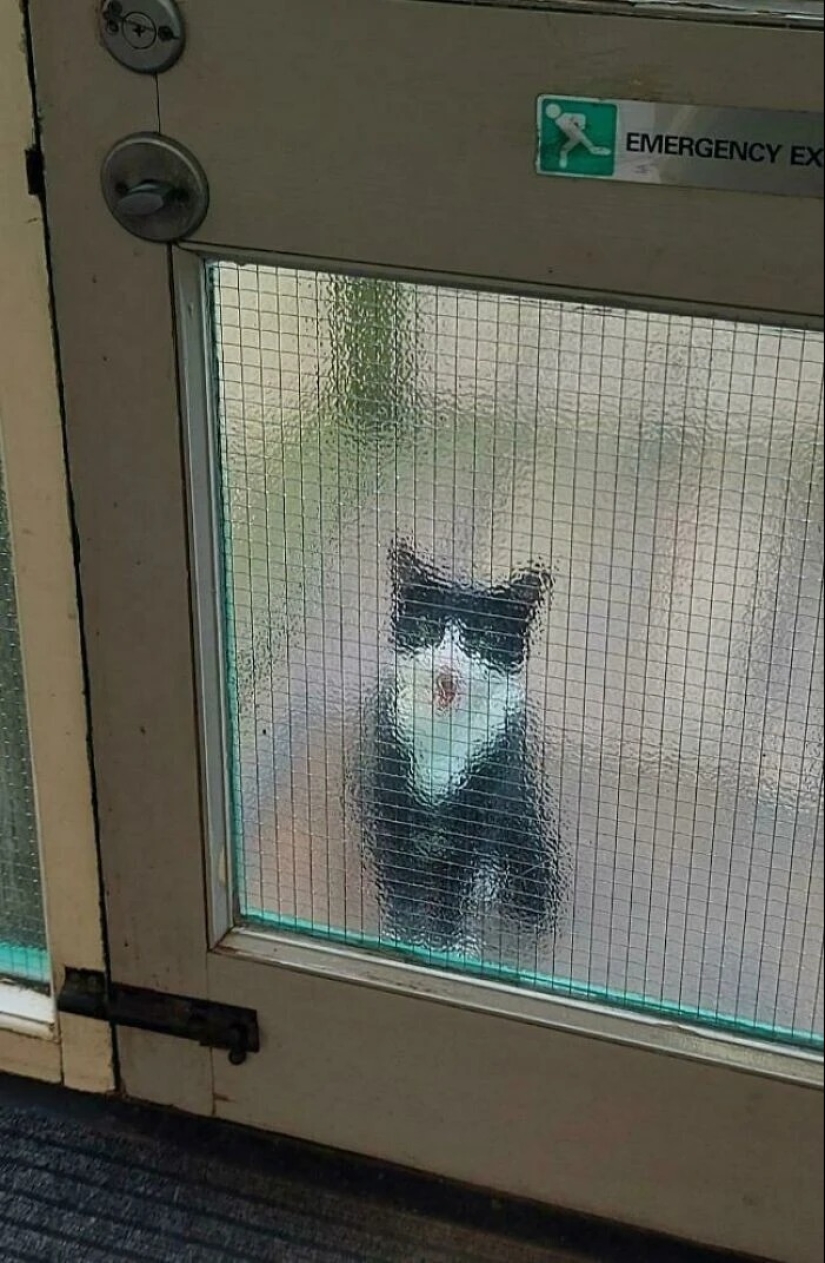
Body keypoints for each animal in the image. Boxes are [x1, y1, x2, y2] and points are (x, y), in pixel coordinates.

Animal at [358, 540, 560, 949]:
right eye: (426, 628)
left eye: (482, 639)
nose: (447, 670)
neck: (443, 731)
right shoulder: (389, 789)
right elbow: (400, 879)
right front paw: (403, 935)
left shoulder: (489, 782)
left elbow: (456, 883)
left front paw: (449, 943)